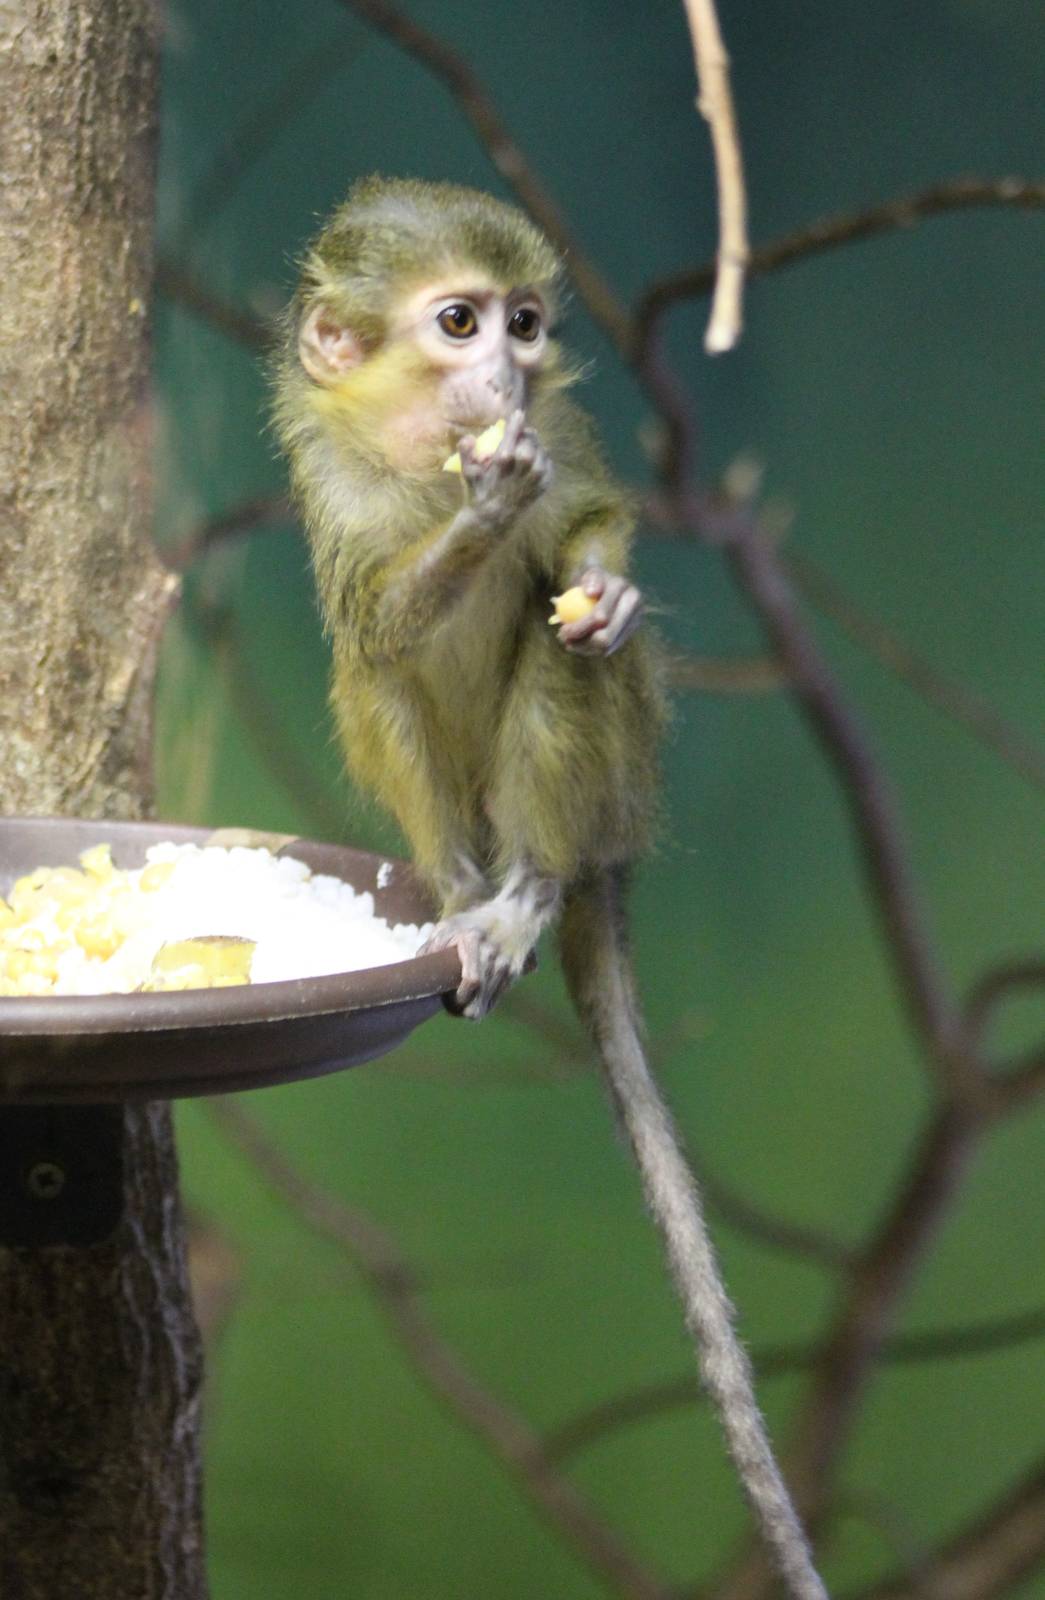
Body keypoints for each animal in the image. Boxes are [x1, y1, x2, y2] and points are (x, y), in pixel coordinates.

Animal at [271, 176, 828, 1600]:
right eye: (457, 322)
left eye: (525, 322)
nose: (508, 368)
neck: (419, 459)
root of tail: (611, 844)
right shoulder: (336, 486)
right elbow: (378, 626)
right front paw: (478, 521)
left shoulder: (563, 437)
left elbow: (583, 529)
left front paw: (602, 577)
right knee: (376, 679)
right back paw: (467, 891)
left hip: (613, 781)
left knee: (559, 648)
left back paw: (528, 887)